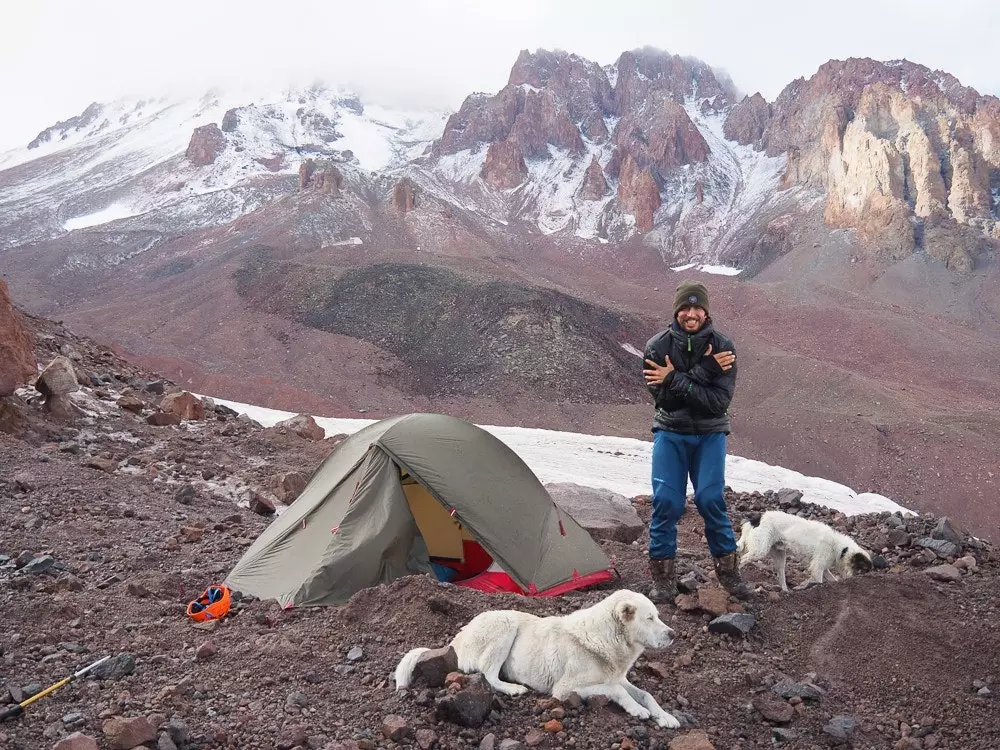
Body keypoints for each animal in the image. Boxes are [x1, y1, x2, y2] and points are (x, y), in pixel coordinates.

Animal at [390, 592, 680, 732]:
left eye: (658, 615)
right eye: (649, 618)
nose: (673, 635)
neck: (605, 636)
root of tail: (458, 637)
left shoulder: (618, 676)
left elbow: (646, 694)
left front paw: (665, 717)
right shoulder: (564, 690)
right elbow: (617, 691)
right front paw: (636, 710)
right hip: (505, 624)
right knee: (489, 676)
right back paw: (513, 688)